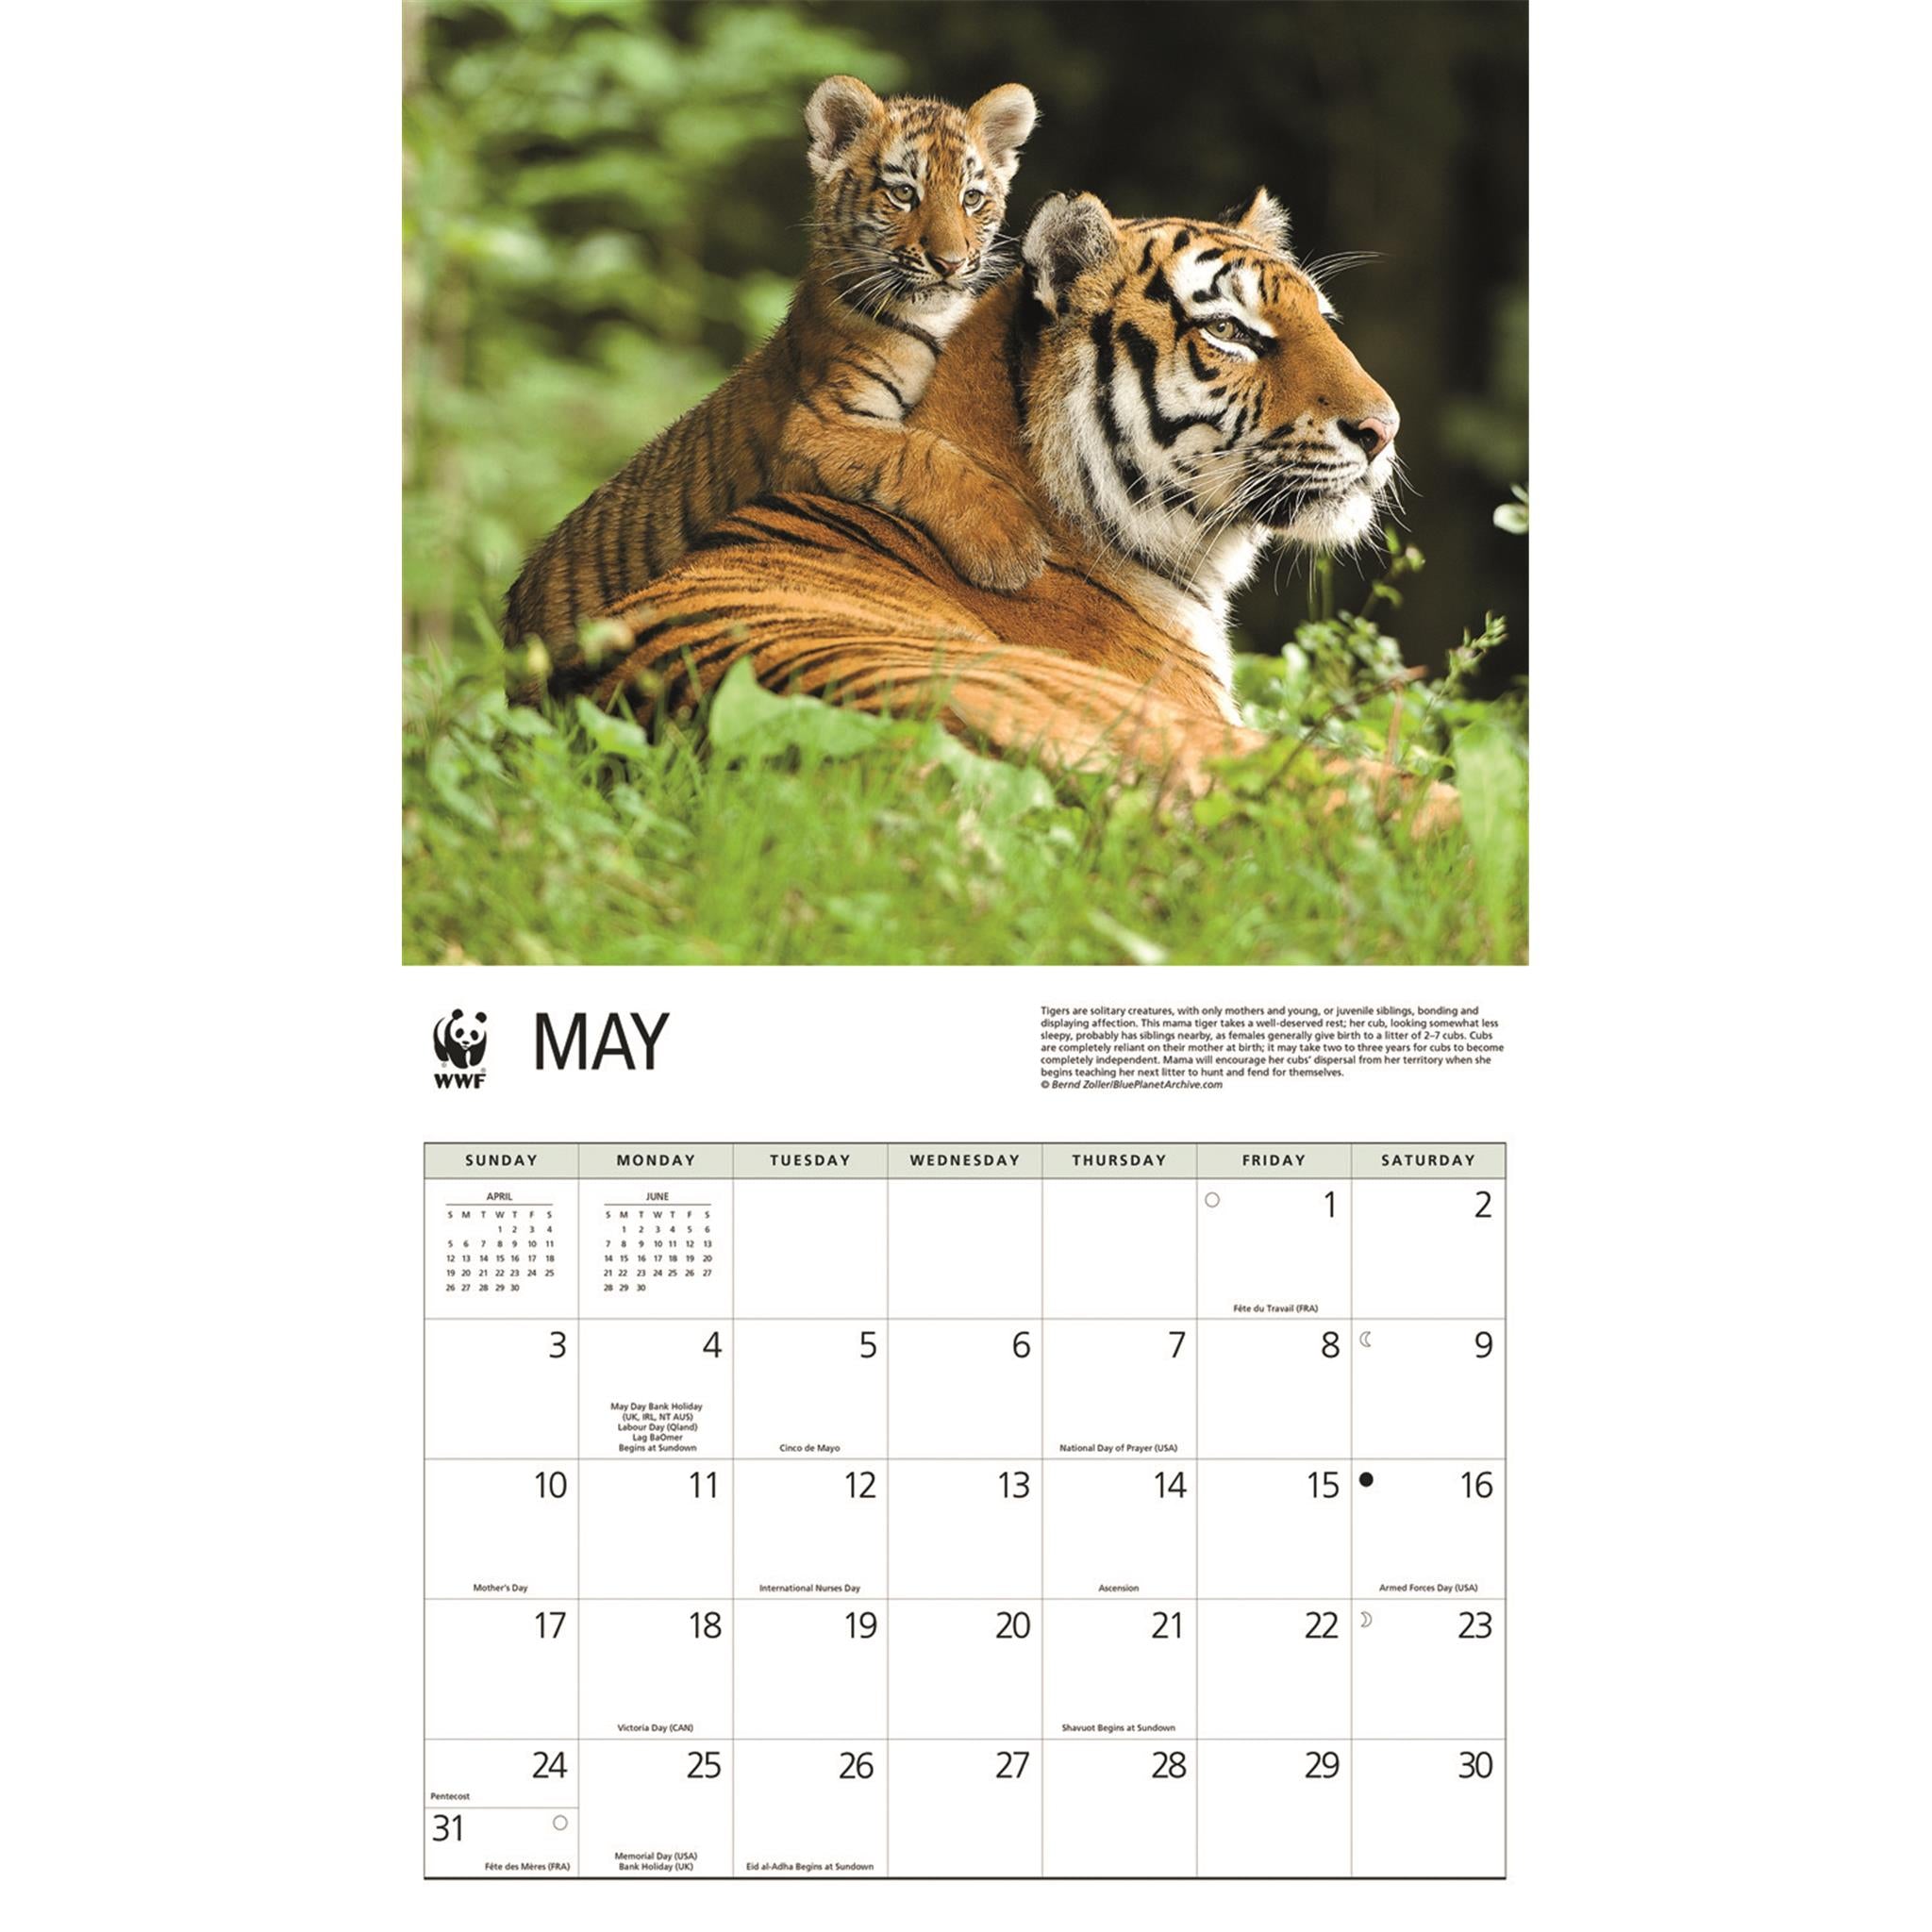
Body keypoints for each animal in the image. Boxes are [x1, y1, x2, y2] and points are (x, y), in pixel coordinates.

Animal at [503, 74, 1042, 701]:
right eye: (903, 194)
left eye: (972, 198)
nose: (951, 264)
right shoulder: (816, 424)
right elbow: (919, 452)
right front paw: (1011, 544)